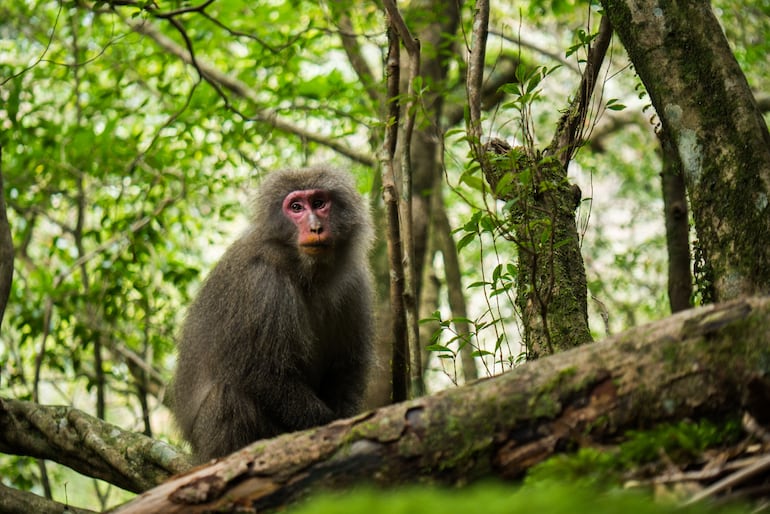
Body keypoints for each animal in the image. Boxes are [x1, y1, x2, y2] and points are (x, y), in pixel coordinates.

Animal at [172, 166, 375, 462]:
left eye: (319, 203)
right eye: (296, 207)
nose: (315, 227)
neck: (305, 272)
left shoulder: (355, 283)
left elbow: (346, 367)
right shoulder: (263, 286)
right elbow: (266, 374)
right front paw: (325, 426)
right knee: (227, 397)